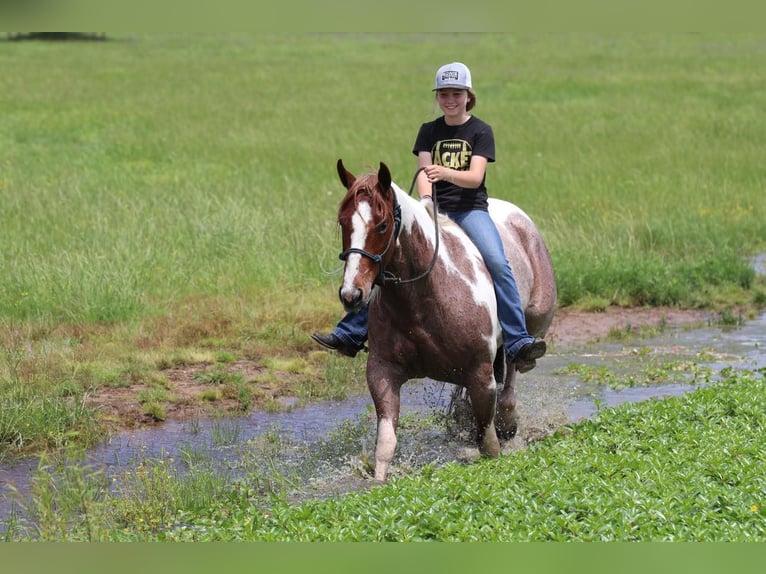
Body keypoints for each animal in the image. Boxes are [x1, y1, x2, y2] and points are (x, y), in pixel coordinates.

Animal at [332, 160, 556, 484]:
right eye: (343, 222)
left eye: (382, 225)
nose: (352, 295)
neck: (424, 297)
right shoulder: (382, 372)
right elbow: (385, 444)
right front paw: (377, 483)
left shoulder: (480, 376)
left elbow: (489, 444)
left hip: (533, 325)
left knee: (514, 370)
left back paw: (508, 417)